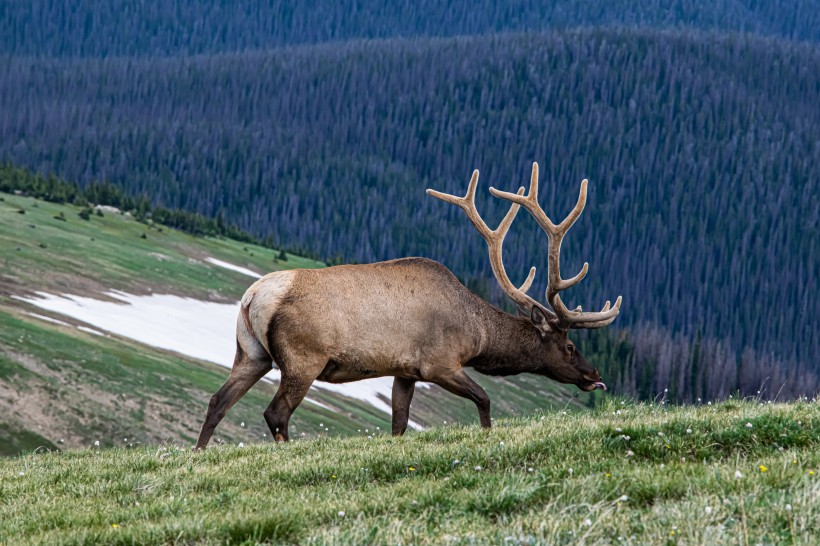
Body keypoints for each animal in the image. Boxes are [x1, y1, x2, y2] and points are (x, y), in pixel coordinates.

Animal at [194, 163, 621, 449]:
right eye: (569, 345)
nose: (594, 373)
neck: (478, 335)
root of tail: (253, 297)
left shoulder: (405, 371)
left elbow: (399, 423)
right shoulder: (440, 363)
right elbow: (484, 399)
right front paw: (488, 435)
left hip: (250, 352)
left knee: (217, 401)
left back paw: (199, 453)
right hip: (303, 357)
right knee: (275, 413)